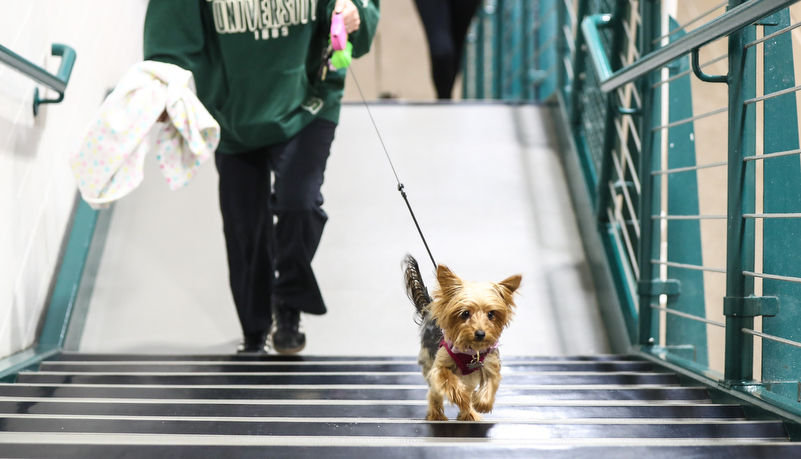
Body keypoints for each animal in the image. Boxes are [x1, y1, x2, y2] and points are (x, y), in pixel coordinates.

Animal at [404, 255, 520, 420]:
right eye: (465, 313)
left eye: (491, 314)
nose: (480, 334)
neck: (472, 350)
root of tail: (430, 308)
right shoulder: (439, 367)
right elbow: (450, 381)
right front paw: (462, 398)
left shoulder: (490, 364)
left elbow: (490, 384)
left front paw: (480, 404)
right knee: (434, 393)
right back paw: (437, 414)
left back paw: (469, 413)